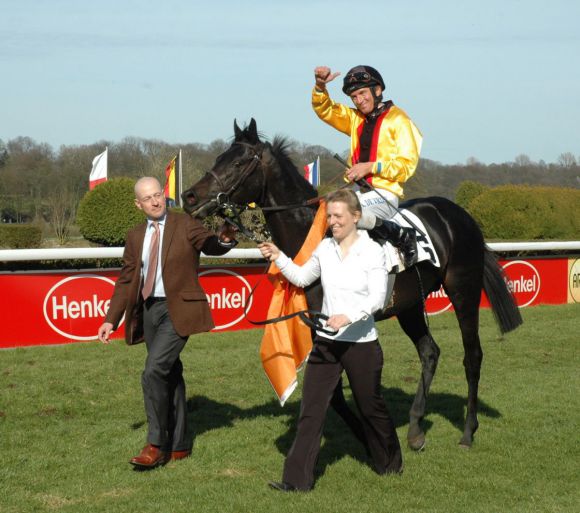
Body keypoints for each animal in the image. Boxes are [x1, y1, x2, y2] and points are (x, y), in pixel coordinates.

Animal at [182, 120, 520, 448]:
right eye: (218, 157)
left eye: (238, 163)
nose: (189, 197)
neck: (313, 233)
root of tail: (461, 215)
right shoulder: (315, 322)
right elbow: (332, 392)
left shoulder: (332, 322)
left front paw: (367, 435)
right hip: (409, 304)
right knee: (429, 352)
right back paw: (415, 428)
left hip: (464, 290)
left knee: (472, 355)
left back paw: (468, 431)